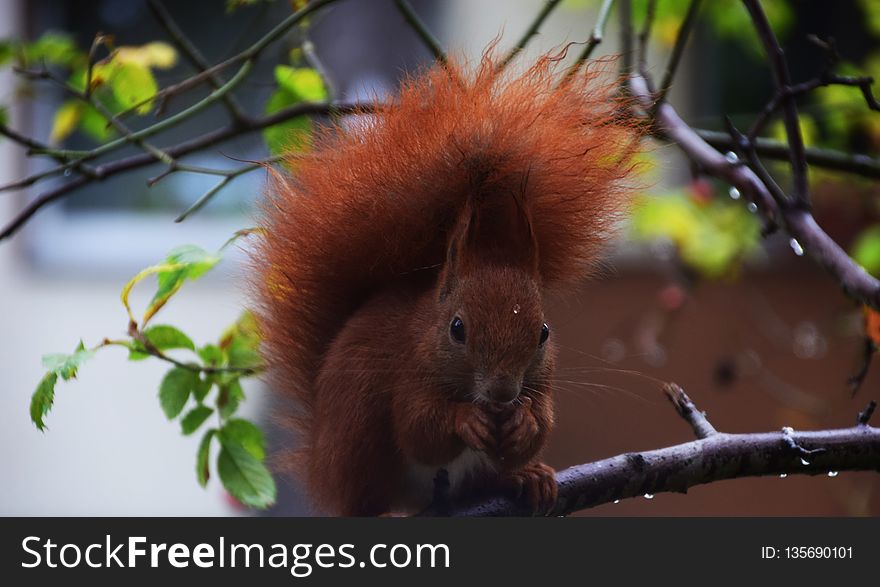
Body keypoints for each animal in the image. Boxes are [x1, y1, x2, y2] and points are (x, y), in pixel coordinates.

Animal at [253, 52, 640, 516]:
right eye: (457, 329)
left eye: (544, 332)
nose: (503, 393)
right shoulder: (409, 372)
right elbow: (420, 431)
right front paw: (466, 420)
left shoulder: (543, 380)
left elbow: (543, 422)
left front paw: (525, 423)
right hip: (357, 439)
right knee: (368, 493)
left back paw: (527, 477)